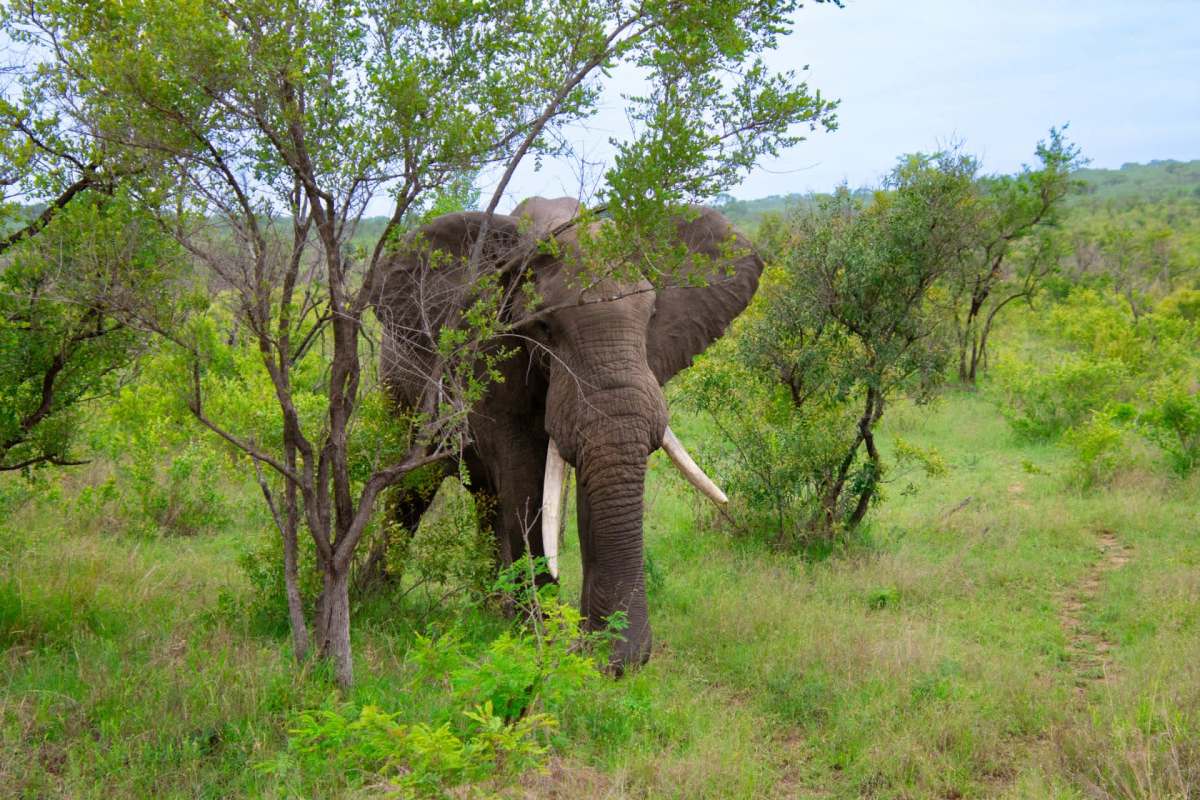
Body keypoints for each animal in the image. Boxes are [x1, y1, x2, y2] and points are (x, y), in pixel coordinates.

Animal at [373, 196, 763, 668]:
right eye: (544, 327)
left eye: (652, 314)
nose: (624, 661)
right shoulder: (488, 353)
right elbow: (525, 481)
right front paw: (539, 643)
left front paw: (602, 656)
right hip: (402, 386)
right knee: (412, 487)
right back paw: (374, 600)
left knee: (484, 500)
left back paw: (490, 608)